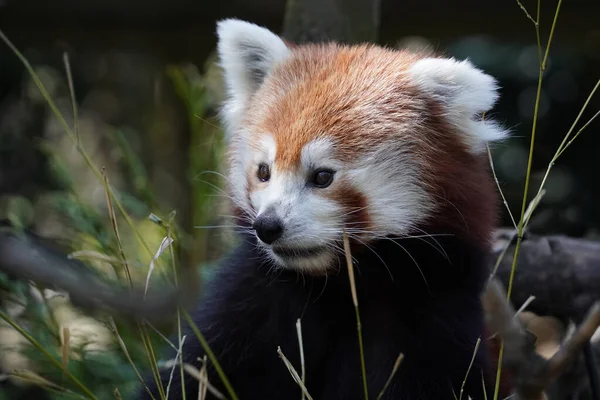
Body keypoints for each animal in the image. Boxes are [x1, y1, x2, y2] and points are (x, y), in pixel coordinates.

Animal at [139, 19, 510, 400]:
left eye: (322, 176)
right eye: (264, 171)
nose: (268, 226)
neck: (333, 287)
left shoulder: (432, 317)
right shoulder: (251, 305)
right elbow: (192, 372)